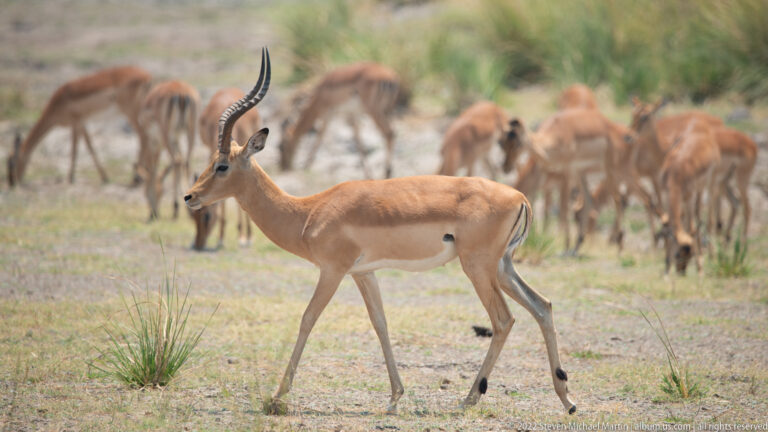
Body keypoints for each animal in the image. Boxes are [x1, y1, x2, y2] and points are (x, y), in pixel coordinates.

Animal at [7, 66, 151, 187]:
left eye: (11, 162)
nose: (12, 183)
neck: (57, 103)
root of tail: (146, 75)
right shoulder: (82, 123)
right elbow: (90, 146)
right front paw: (104, 177)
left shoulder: (75, 122)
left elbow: (74, 149)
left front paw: (70, 178)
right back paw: (140, 177)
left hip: (131, 112)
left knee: (143, 137)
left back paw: (135, 179)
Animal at [138, 80, 199, 220]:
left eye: (145, 193)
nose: (154, 213)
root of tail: (181, 93)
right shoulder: (175, 138)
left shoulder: (154, 143)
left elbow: (153, 170)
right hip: (190, 131)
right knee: (185, 162)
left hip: (166, 134)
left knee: (176, 161)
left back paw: (177, 208)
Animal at [658, 119, 721, 275]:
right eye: (677, 254)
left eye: (691, 254)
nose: (681, 271)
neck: (676, 173)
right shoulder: (665, 194)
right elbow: (668, 226)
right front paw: (666, 269)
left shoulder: (689, 197)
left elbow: (692, 228)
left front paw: (700, 268)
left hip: (709, 186)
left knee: (708, 219)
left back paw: (711, 258)